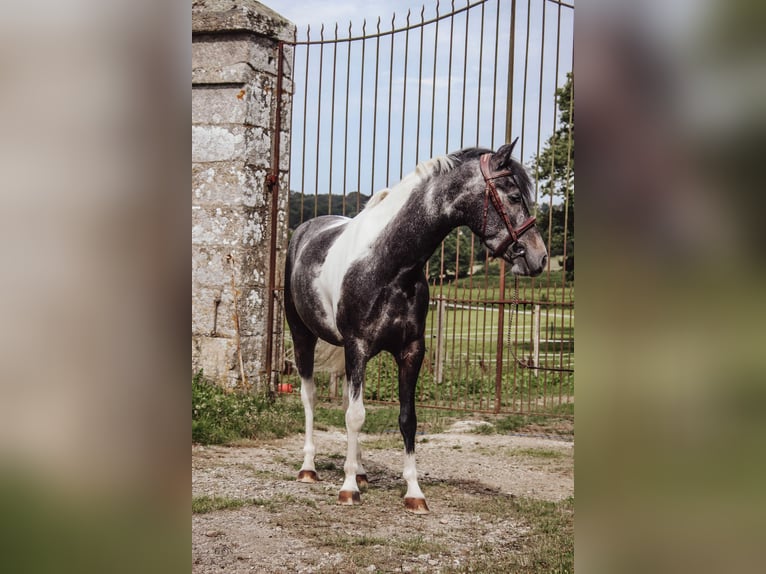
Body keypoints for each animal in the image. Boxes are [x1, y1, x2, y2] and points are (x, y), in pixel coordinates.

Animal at [284, 142, 548, 516]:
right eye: (512, 195)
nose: (540, 258)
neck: (389, 263)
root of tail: (305, 231)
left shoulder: (411, 351)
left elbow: (405, 418)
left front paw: (413, 492)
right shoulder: (357, 346)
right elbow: (355, 416)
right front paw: (348, 489)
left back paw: (360, 470)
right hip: (302, 337)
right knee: (310, 397)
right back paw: (309, 468)